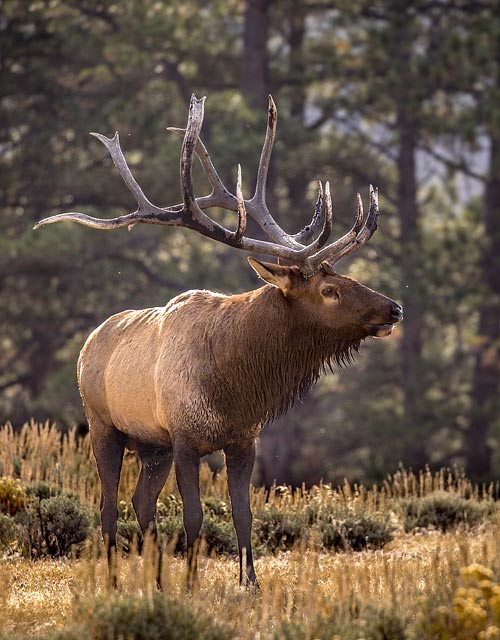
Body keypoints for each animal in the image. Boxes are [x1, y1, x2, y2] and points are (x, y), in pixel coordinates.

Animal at [34, 95, 403, 589]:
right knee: (108, 505)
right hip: (103, 425)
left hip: (152, 446)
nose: (394, 309)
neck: (233, 386)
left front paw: (250, 583)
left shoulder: (243, 440)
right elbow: (194, 517)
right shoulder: (185, 438)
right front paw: (192, 584)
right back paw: (114, 583)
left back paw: (156, 582)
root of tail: (89, 342)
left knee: (141, 502)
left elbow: (243, 515)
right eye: (330, 289)